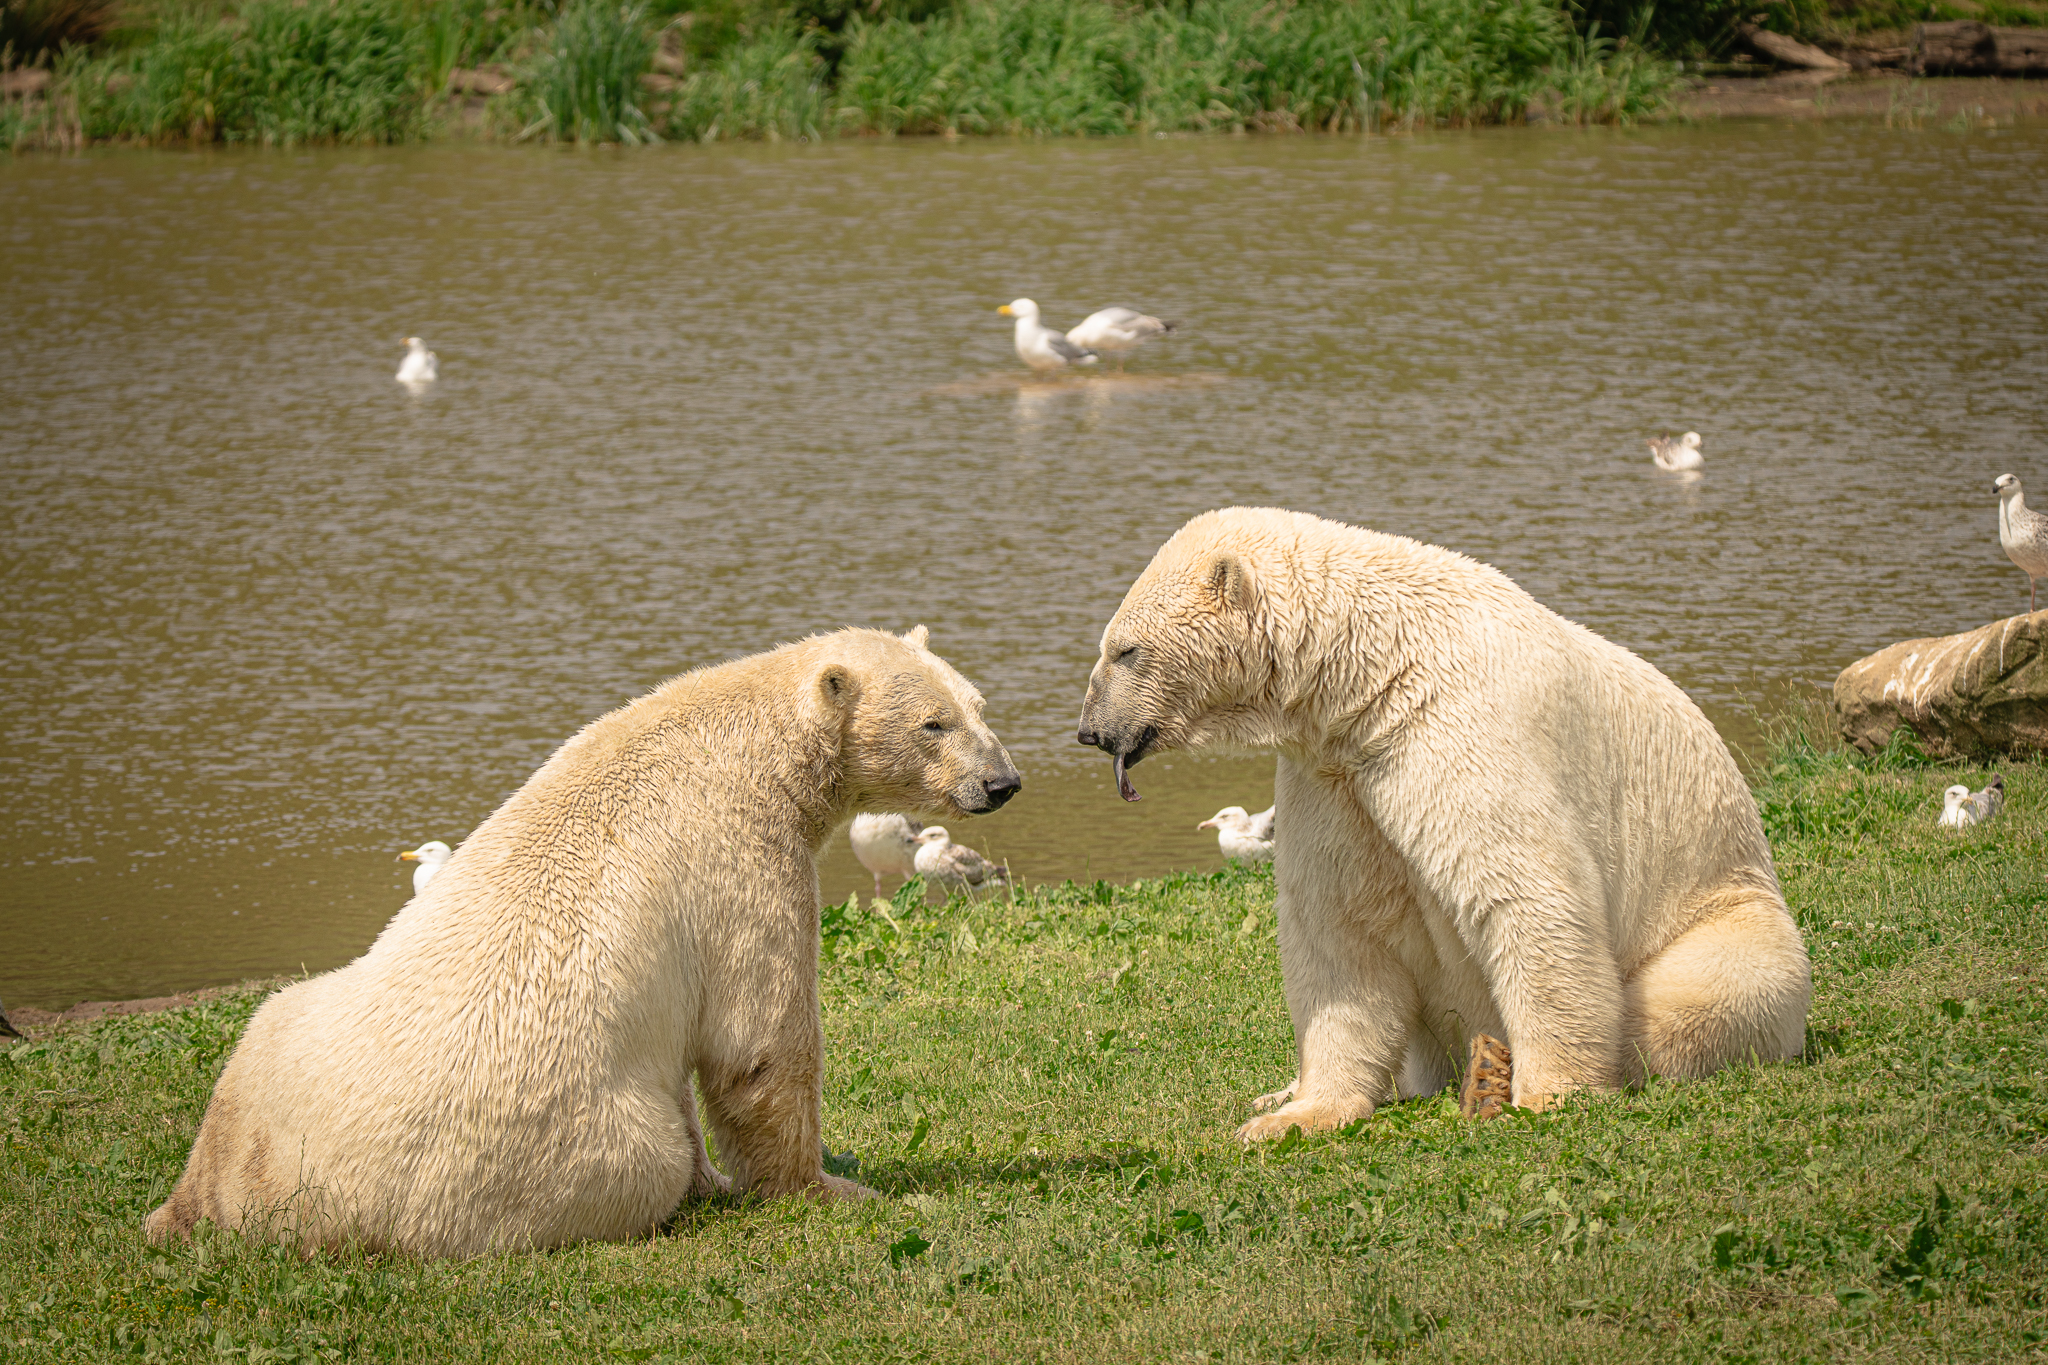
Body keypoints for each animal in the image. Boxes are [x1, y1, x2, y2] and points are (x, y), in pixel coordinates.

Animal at [145, 626, 1020, 1256]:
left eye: (981, 703)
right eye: (934, 722)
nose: (1002, 782)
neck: (743, 735)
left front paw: (728, 1180)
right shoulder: (742, 858)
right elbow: (759, 1042)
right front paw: (827, 1185)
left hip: (270, 1050)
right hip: (565, 1151)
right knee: (643, 1158)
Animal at [1076, 507, 1809, 1138]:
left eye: (1125, 651)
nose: (1089, 730)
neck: (1374, 667)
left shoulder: (1457, 727)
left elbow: (1527, 895)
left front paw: (1549, 1090)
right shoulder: (1334, 775)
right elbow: (1340, 931)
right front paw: (1293, 1113)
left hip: (1725, 910)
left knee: (1694, 995)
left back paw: (1493, 1074)